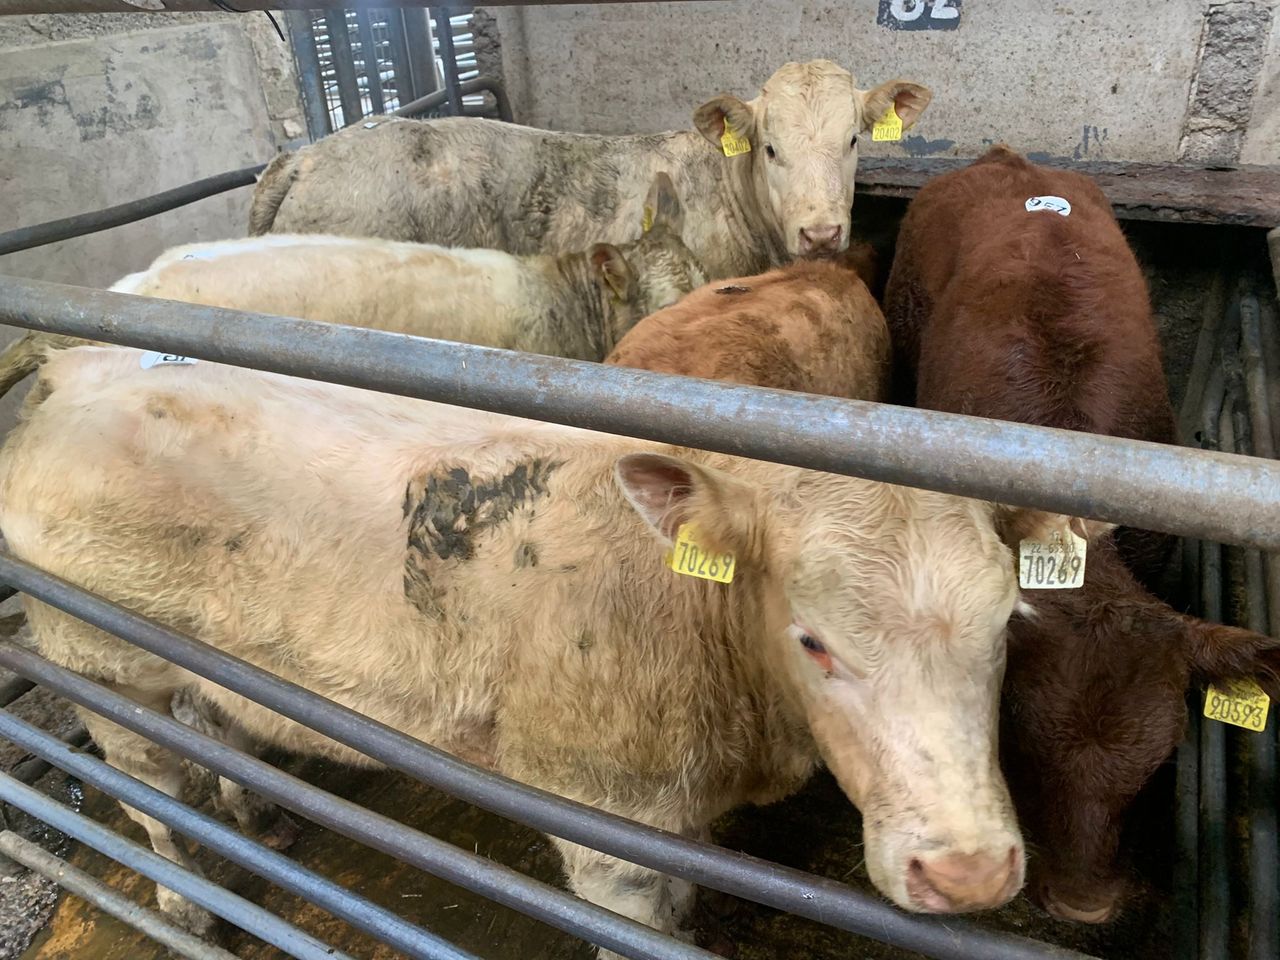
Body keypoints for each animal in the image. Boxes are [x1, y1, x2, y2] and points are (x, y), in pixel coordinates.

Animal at [1, 346, 1025, 955]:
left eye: (1008, 623)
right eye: (812, 639)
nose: (969, 872)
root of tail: (74, 368)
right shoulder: (601, 814)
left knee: (213, 724)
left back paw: (260, 815)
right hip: (95, 658)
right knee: (151, 786)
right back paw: (186, 904)